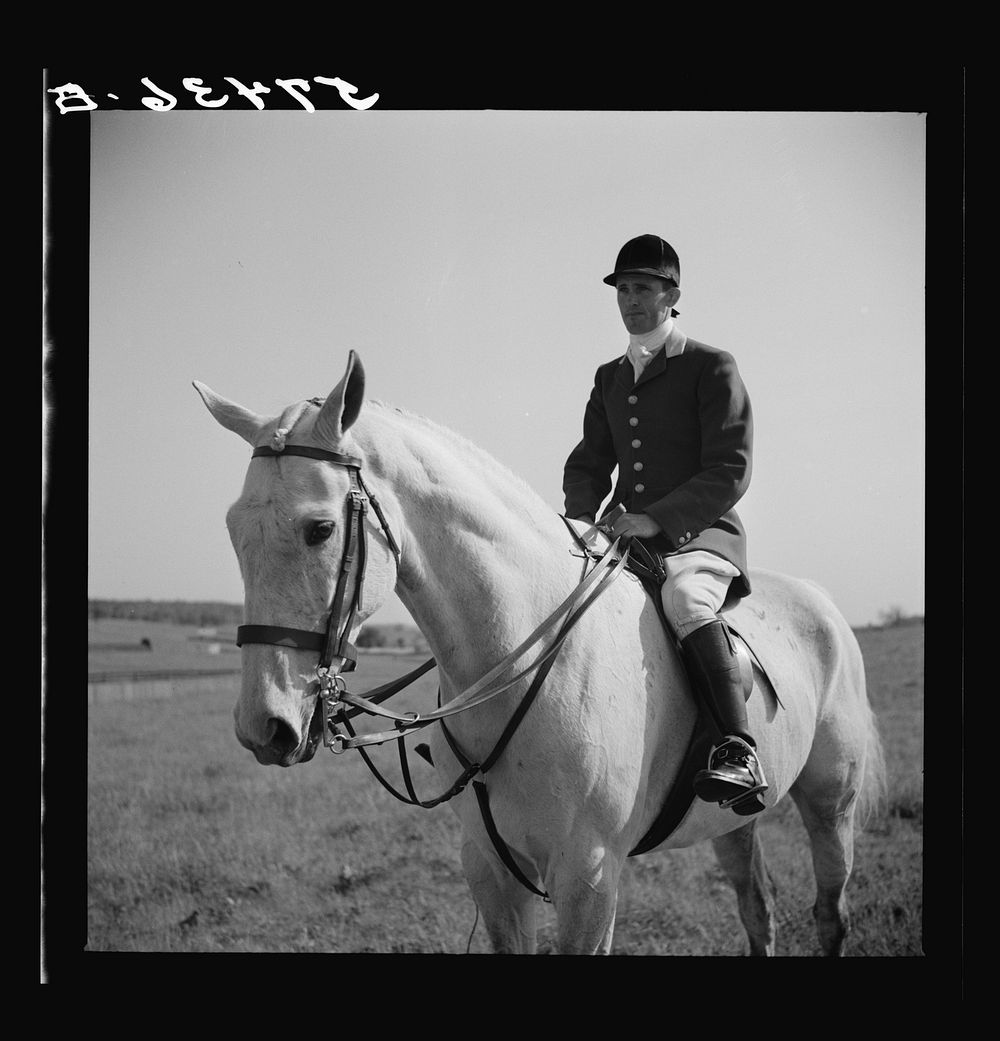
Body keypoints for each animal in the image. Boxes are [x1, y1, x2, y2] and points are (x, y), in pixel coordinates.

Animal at [195, 353, 882, 953]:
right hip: (732, 823)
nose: (264, 727)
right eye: (232, 529)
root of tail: (819, 600)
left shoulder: (590, 877)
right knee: (756, 909)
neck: (523, 655)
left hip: (830, 803)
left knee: (830, 912)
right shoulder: (491, 871)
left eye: (320, 529)